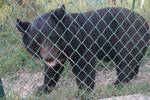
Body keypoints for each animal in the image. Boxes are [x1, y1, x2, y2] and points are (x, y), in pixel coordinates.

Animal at [15, 4, 149, 94]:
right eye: (36, 41)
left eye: (54, 37)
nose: (48, 58)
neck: (66, 45)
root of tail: (146, 23)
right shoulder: (59, 55)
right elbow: (52, 71)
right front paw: (42, 89)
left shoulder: (80, 43)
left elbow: (84, 66)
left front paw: (83, 92)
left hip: (129, 38)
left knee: (126, 61)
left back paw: (116, 84)